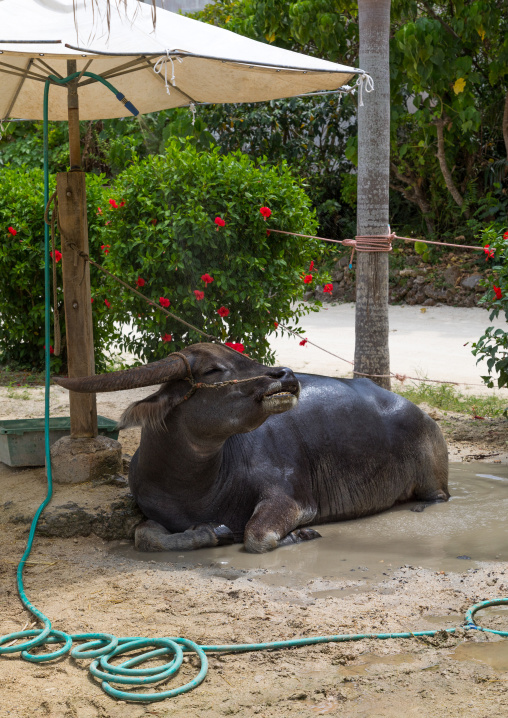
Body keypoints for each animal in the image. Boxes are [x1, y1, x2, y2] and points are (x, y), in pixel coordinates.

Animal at [55, 342, 449, 553]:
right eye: (213, 370)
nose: (286, 375)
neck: (197, 485)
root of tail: (423, 415)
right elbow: (146, 537)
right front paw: (211, 533)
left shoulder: (291, 499)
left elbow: (258, 535)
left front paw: (301, 533)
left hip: (432, 482)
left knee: (438, 497)